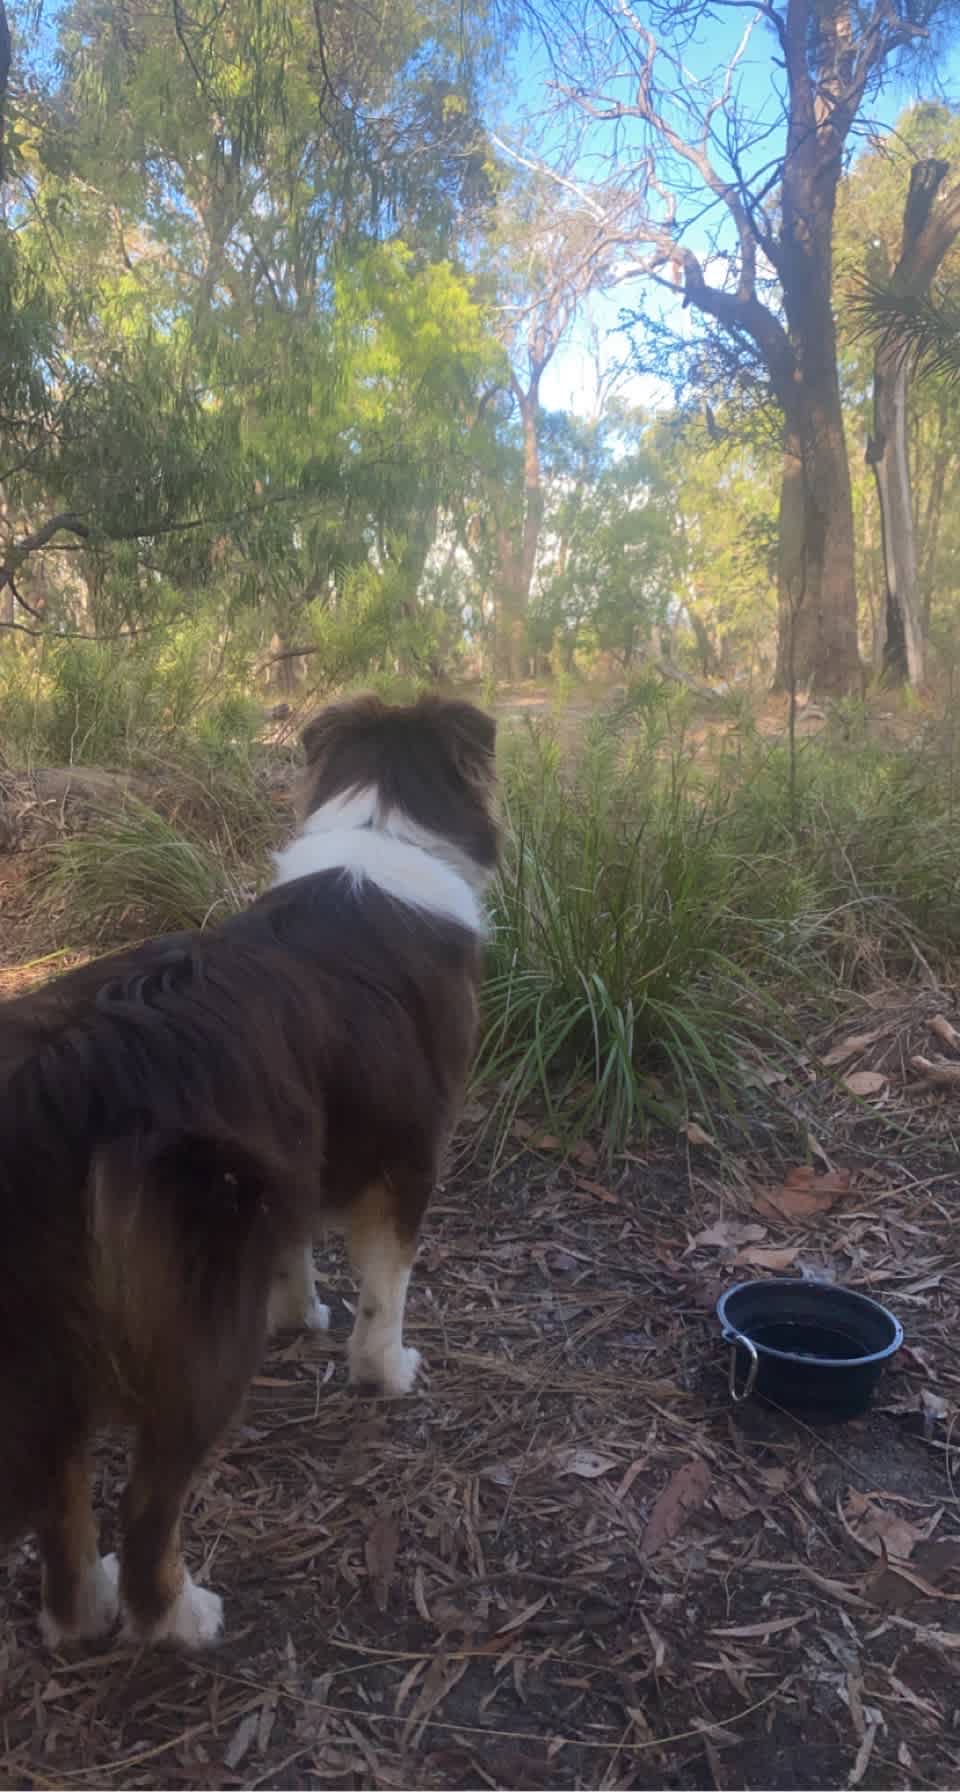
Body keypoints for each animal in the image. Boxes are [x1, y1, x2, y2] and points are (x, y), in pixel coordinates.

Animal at [0, 691, 494, 1641]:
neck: (381, 827)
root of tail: (63, 1069)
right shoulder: (410, 1164)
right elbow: (387, 1294)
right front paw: (386, 1371)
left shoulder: (294, 1147)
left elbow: (296, 1251)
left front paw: (302, 1314)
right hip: (200, 1311)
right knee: (147, 1499)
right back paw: (180, 1618)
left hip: (52, 1326)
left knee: (61, 1488)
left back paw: (83, 1610)